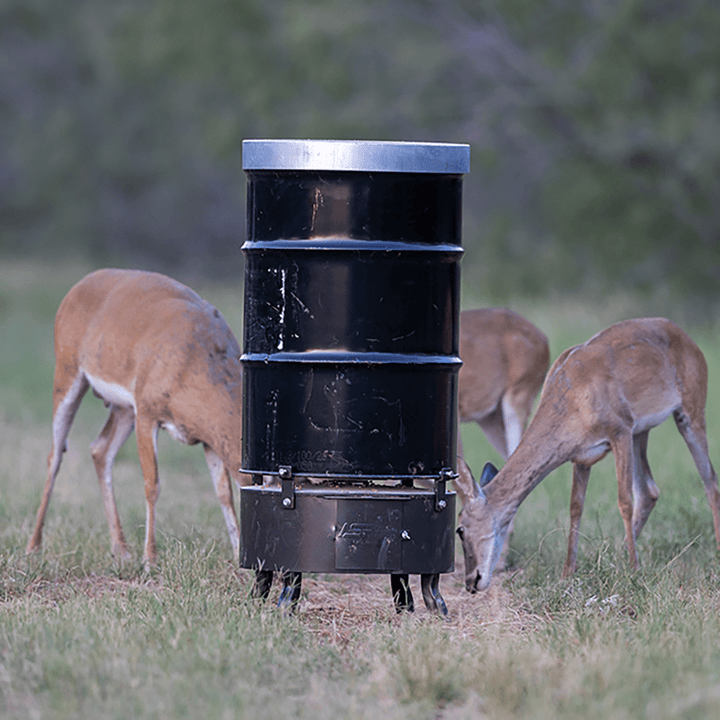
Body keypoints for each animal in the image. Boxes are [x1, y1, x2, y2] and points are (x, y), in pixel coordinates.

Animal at [26, 268, 251, 568]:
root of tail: (78, 285)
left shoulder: (209, 438)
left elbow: (223, 493)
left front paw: (239, 555)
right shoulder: (147, 411)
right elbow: (152, 485)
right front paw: (150, 559)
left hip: (123, 408)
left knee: (100, 450)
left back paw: (120, 548)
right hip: (67, 369)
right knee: (56, 454)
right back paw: (33, 546)